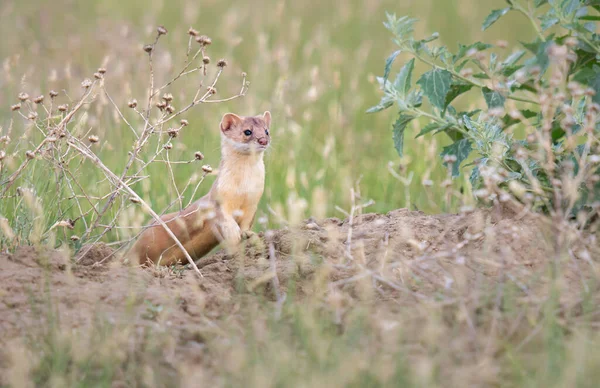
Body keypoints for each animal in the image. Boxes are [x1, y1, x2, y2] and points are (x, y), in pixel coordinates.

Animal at [131, 110, 272, 266]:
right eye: (247, 131)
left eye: (266, 130)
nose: (263, 140)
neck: (243, 188)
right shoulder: (218, 198)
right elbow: (225, 219)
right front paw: (235, 233)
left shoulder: (253, 201)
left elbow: (247, 222)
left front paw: (247, 234)